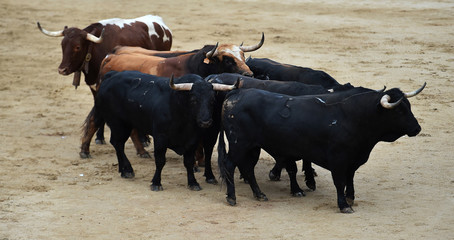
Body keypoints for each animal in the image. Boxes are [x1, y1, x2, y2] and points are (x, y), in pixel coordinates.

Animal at [86, 71, 238, 191]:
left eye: (212, 100)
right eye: (194, 99)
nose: (206, 121)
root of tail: (111, 76)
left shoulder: (192, 140)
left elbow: (189, 162)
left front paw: (193, 183)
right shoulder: (160, 138)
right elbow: (160, 161)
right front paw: (156, 183)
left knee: (117, 143)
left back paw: (123, 170)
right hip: (118, 124)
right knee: (118, 143)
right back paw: (128, 170)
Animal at [220, 83, 426, 213]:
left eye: (409, 106)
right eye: (399, 110)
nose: (417, 128)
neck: (355, 117)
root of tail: (235, 95)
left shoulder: (352, 160)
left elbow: (350, 179)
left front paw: (350, 198)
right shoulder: (338, 160)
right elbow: (340, 182)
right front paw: (344, 205)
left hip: (253, 147)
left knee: (248, 168)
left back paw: (260, 194)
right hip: (239, 144)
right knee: (230, 165)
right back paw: (232, 197)